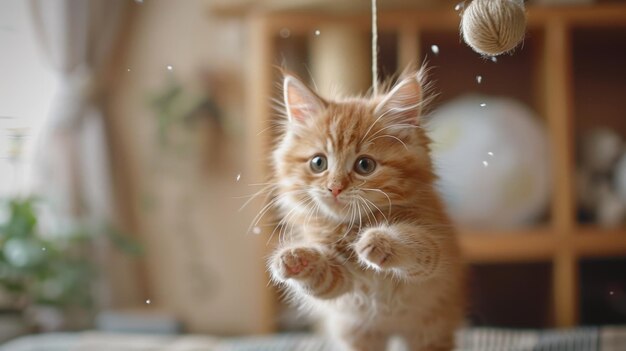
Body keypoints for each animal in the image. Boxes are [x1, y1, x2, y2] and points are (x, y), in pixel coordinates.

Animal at [266, 72, 460, 351]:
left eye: (364, 165)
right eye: (318, 163)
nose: (334, 188)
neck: (352, 226)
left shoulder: (434, 244)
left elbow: (416, 244)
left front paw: (379, 242)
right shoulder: (341, 282)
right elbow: (324, 278)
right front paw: (296, 258)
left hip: (431, 332)